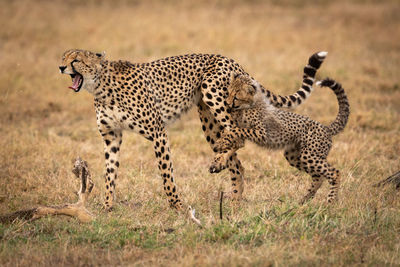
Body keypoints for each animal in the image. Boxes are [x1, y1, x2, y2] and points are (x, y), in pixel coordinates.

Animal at [58, 49, 324, 210]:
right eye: (63, 58)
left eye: (76, 60)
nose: (61, 68)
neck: (100, 87)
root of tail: (230, 59)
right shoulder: (111, 136)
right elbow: (110, 172)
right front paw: (107, 206)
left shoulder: (158, 132)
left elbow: (166, 173)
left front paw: (177, 206)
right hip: (209, 120)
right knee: (235, 156)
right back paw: (235, 199)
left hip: (214, 94)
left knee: (237, 138)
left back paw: (221, 168)